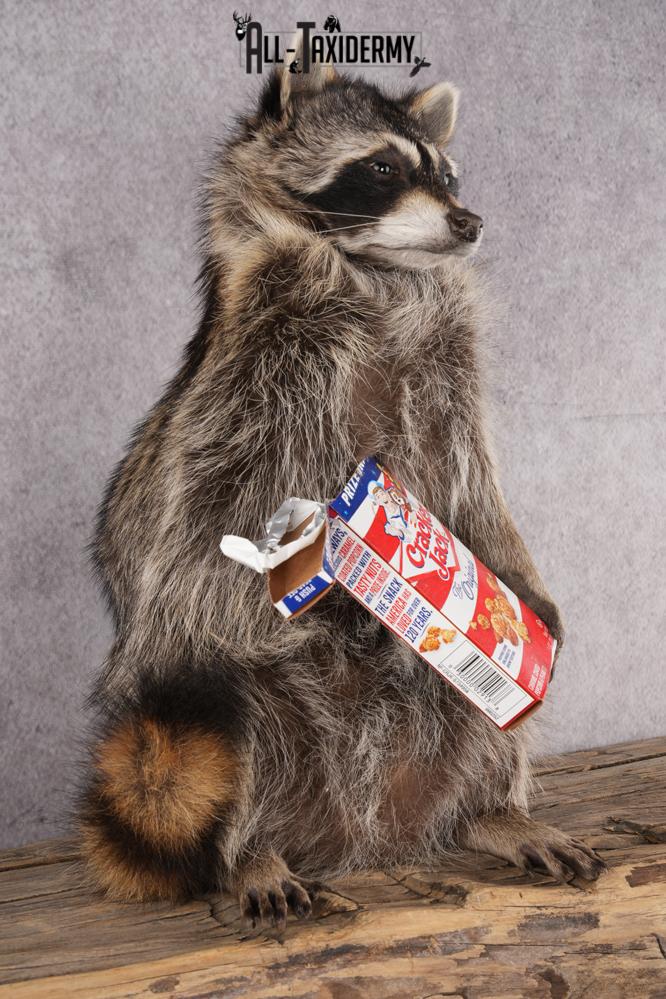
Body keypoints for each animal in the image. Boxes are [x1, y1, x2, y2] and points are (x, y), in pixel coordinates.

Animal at [80, 44, 605, 927]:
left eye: (449, 177)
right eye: (383, 167)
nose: (469, 221)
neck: (378, 277)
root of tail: (364, 835)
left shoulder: (447, 374)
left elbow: (473, 479)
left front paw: (518, 580)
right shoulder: (249, 372)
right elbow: (198, 511)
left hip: (442, 708)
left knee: (482, 721)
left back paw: (491, 809)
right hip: (219, 717)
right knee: (224, 726)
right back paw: (247, 852)